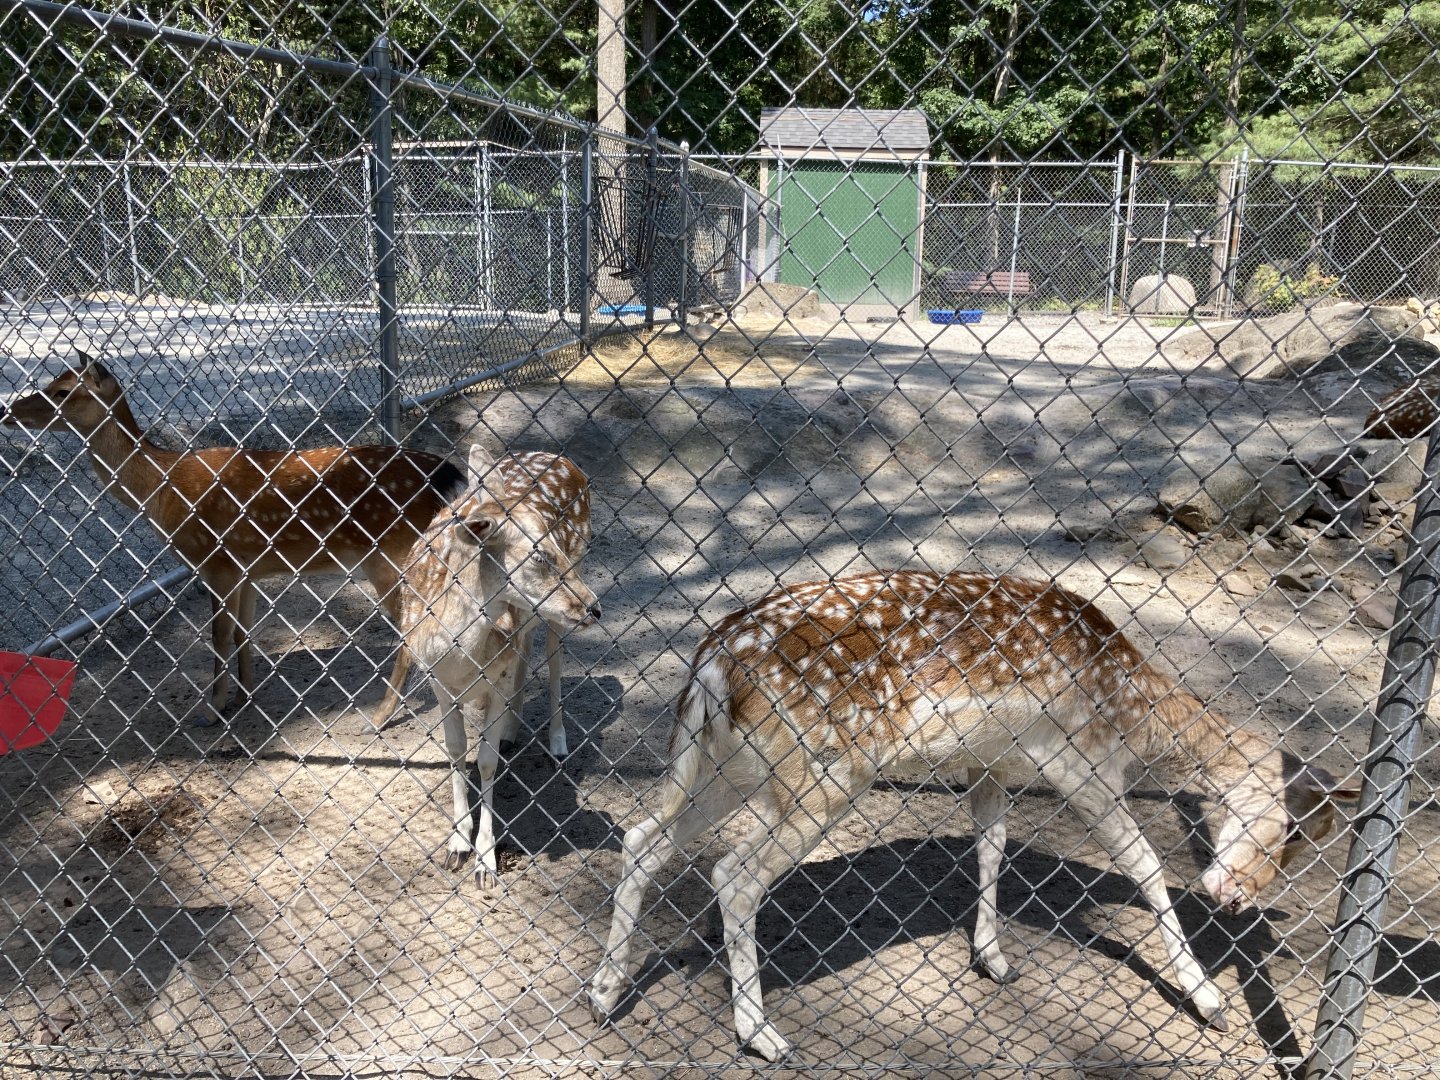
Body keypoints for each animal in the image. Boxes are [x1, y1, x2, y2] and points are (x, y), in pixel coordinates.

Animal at [0, 352, 466, 726]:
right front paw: (246, 694)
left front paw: (212, 709)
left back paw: (382, 714)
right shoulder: (246, 568)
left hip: (391, 554)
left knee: (412, 628)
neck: (163, 492)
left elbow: (218, 636)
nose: (8, 413)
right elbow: (244, 633)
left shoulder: (216, 561)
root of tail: (447, 476)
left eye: (61, 391)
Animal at [382, 443, 600, 888]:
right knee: (526, 649)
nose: (594, 606)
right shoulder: (437, 681)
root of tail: (565, 460)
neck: (458, 655)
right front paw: (456, 844)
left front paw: (485, 861)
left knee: (552, 659)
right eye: (538, 554)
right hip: (529, 618)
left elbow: (485, 760)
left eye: (555, 542)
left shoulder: (493, 677)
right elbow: (455, 749)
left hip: (566, 595)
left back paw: (557, 741)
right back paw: (513, 729)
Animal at [587, 570, 1358, 1062]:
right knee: (731, 874)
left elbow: (991, 843)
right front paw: (1208, 999)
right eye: (1293, 830)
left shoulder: (991, 764)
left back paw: (604, 990)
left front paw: (993, 958)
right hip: (822, 774)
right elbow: (1141, 862)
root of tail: (711, 663)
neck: (1131, 703)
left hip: (729, 768)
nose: (1237, 897)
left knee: (644, 836)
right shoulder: (1082, 760)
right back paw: (762, 1035)